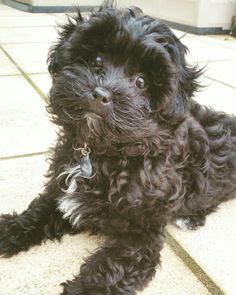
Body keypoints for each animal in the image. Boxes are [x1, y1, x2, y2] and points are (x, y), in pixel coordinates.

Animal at [0, 2, 236, 295]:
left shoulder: (142, 233)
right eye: (97, 61)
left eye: (141, 82)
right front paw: (10, 228)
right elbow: (40, 209)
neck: (102, 154)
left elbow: (112, 268)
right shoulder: (60, 188)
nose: (101, 94)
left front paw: (84, 289)